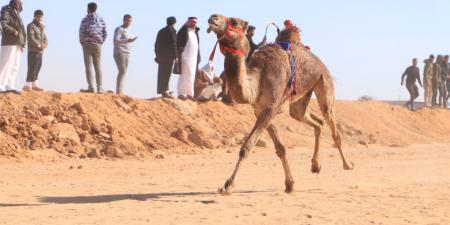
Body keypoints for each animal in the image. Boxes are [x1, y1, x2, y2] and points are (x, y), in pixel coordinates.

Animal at [207, 14, 356, 194]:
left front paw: (227, 185)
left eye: (234, 21)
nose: (213, 17)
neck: (257, 80)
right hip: (299, 101)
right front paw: (290, 184)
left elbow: (246, 147)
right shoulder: (261, 110)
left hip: (324, 81)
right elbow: (281, 148)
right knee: (315, 121)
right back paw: (315, 165)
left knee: (331, 124)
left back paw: (347, 165)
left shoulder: (270, 108)